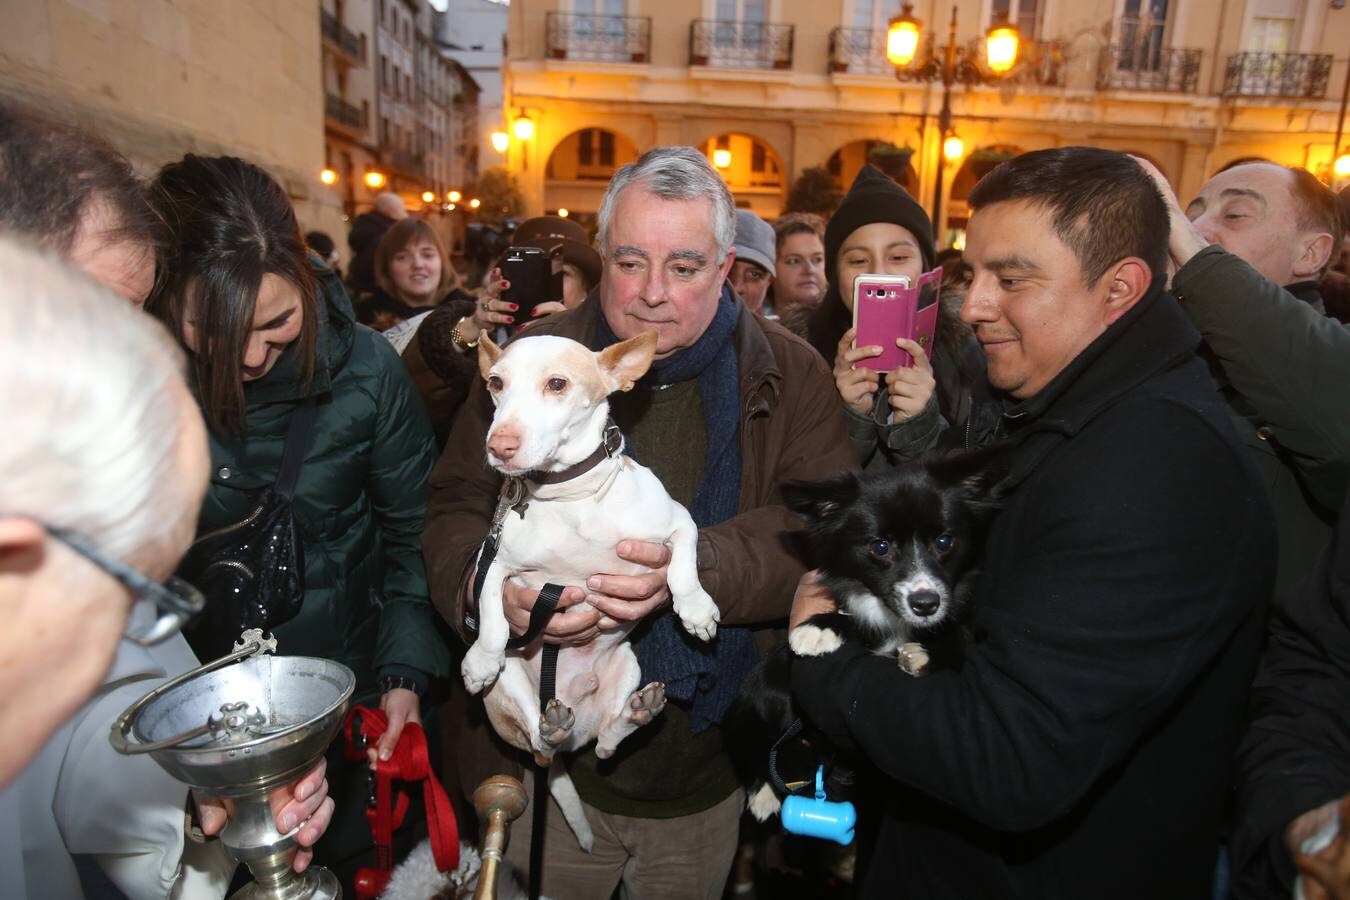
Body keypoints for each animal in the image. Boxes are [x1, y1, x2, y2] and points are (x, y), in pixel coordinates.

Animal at [459, 330, 723, 852]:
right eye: (496, 383)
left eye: (557, 384)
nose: (500, 445)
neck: (568, 497)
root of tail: (571, 717)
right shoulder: (492, 561)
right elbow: (492, 613)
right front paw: (479, 658)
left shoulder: (678, 523)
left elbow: (683, 566)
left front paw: (695, 609)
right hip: (513, 692)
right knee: (542, 745)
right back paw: (553, 726)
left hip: (627, 666)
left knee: (605, 744)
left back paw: (635, 714)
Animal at [729, 450, 1004, 825]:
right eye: (881, 546)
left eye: (944, 541)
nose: (925, 604)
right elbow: (857, 617)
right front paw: (821, 626)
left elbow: (960, 639)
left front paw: (928, 654)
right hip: (750, 699)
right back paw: (764, 793)